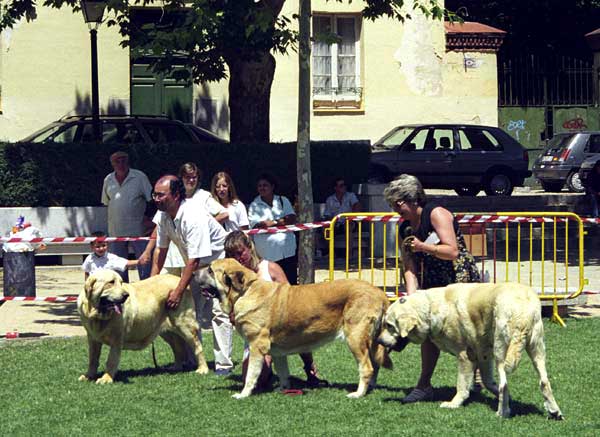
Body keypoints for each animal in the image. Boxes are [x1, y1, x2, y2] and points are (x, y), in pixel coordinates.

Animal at [77, 270, 210, 382]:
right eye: (111, 282)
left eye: (121, 282)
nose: (126, 295)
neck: (98, 315)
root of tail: (180, 282)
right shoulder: (92, 338)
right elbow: (93, 359)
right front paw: (89, 376)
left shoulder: (117, 339)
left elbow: (111, 360)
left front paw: (106, 378)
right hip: (167, 332)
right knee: (178, 348)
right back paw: (176, 367)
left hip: (185, 327)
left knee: (198, 347)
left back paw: (203, 369)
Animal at [197, 258, 394, 398]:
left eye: (210, 270)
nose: (194, 271)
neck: (244, 292)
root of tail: (380, 292)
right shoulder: (276, 351)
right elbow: (283, 372)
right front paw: (284, 389)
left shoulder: (256, 347)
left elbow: (251, 375)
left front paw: (243, 394)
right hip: (370, 342)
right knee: (375, 365)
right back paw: (370, 388)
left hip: (354, 338)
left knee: (366, 367)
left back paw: (358, 393)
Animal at [378, 282, 564, 418]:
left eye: (389, 325)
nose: (379, 341)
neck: (430, 308)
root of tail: (522, 311)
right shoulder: (483, 355)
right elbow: (488, 382)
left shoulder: (465, 356)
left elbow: (462, 385)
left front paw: (454, 403)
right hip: (536, 349)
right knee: (544, 381)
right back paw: (555, 411)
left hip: (501, 351)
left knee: (504, 383)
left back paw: (502, 412)